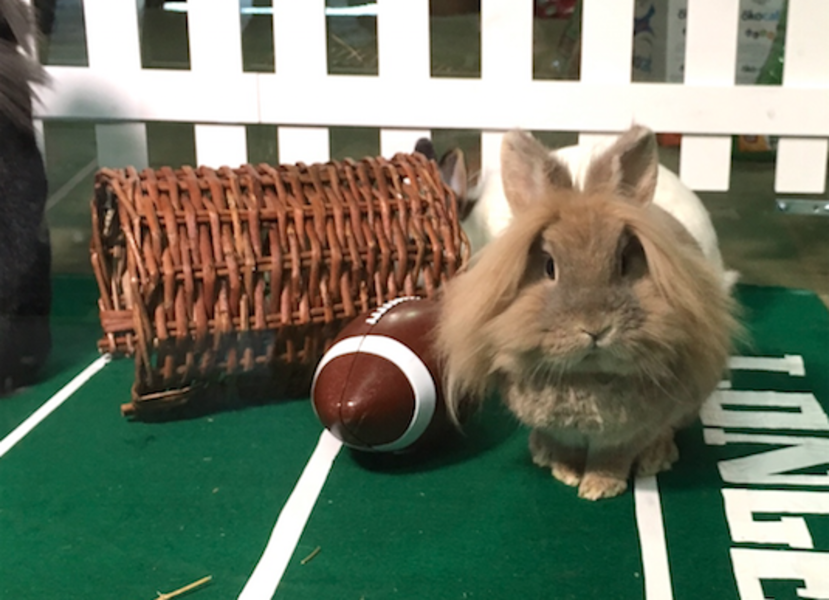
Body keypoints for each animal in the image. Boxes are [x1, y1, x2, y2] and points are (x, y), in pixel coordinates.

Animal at [436, 126, 740, 502]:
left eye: (624, 262)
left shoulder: (628, 434)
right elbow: (565, 448)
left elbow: (613, 457)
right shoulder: (558, 428)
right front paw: (564, 472)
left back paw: (656, 458)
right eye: (549, 266)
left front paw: (599, 489)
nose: (595, 328)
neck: (587, 376)